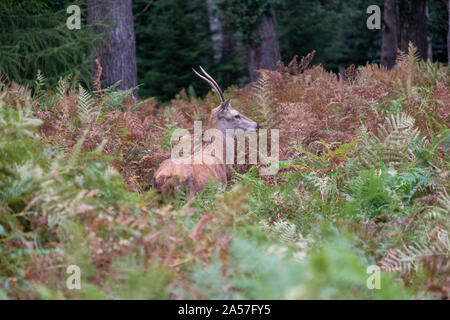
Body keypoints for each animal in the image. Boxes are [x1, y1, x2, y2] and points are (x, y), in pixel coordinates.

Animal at [151, 67, 258, 198]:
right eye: (236, 115)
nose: (257, 125)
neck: (219, 155)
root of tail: (163, 178)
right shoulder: (222, 187)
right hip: (193, 194)